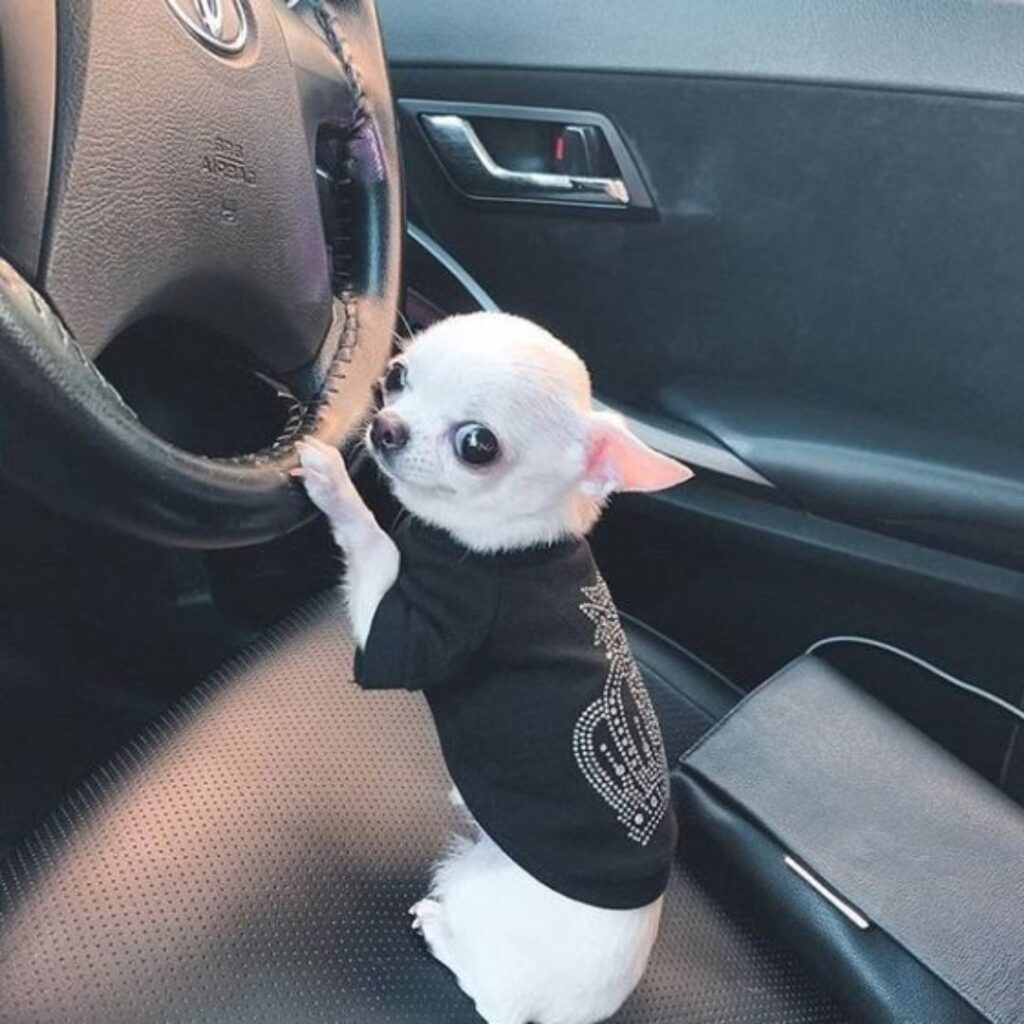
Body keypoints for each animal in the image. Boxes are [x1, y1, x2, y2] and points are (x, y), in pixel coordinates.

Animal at [296, 311, 696, 1024]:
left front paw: (334, 485)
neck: (512, 543)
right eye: (397, 374)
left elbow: (374, 545)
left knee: (487, 993)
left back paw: (438, 929)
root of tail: (578, 1014)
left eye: (477, 445)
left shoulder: (423, 629)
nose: (384, 426)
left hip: (474, 894)